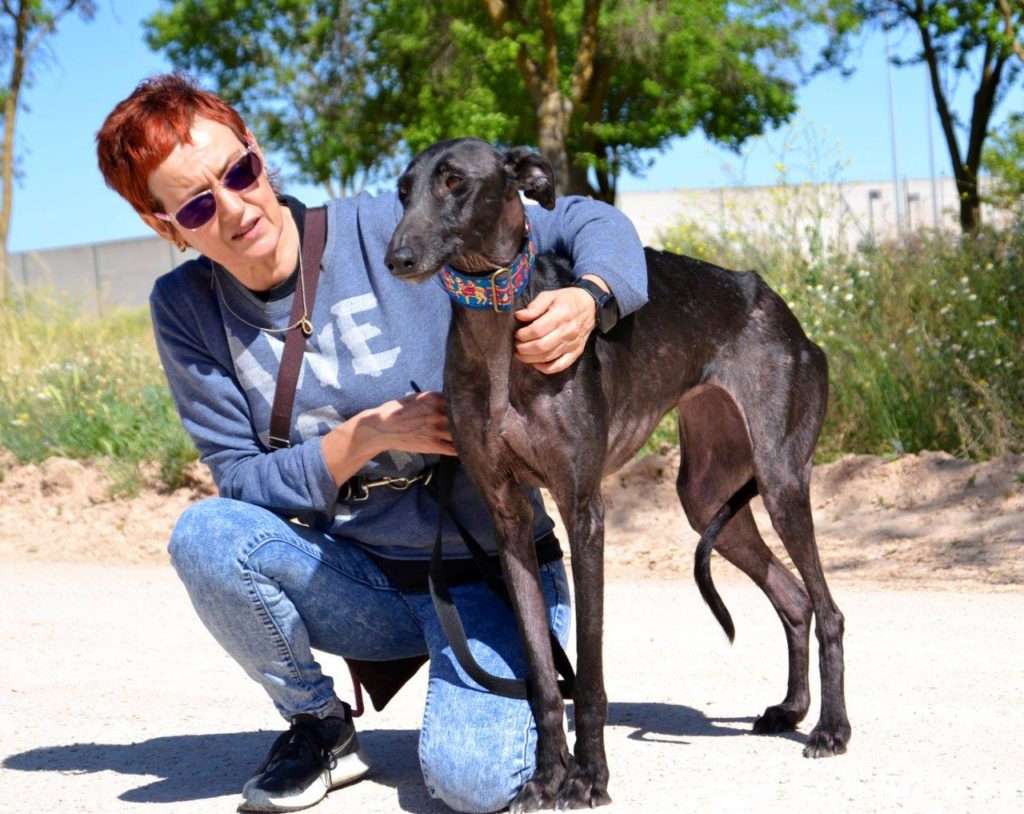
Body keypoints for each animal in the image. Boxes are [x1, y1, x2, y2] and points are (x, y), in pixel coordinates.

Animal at [385, 137, 847, 810]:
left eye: (454, 182)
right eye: (402, 190)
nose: (397, 258)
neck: (499, 332)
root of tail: (781, 310)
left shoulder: (585, 511)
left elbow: (591, 671)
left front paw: (589, 777)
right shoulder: (507, 517)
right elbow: (542, 677)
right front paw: (546, 777)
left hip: (781, 478)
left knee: (828, 608)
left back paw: (832, 729)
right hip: (705, 497)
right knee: (793, 597)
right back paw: (790, 709)